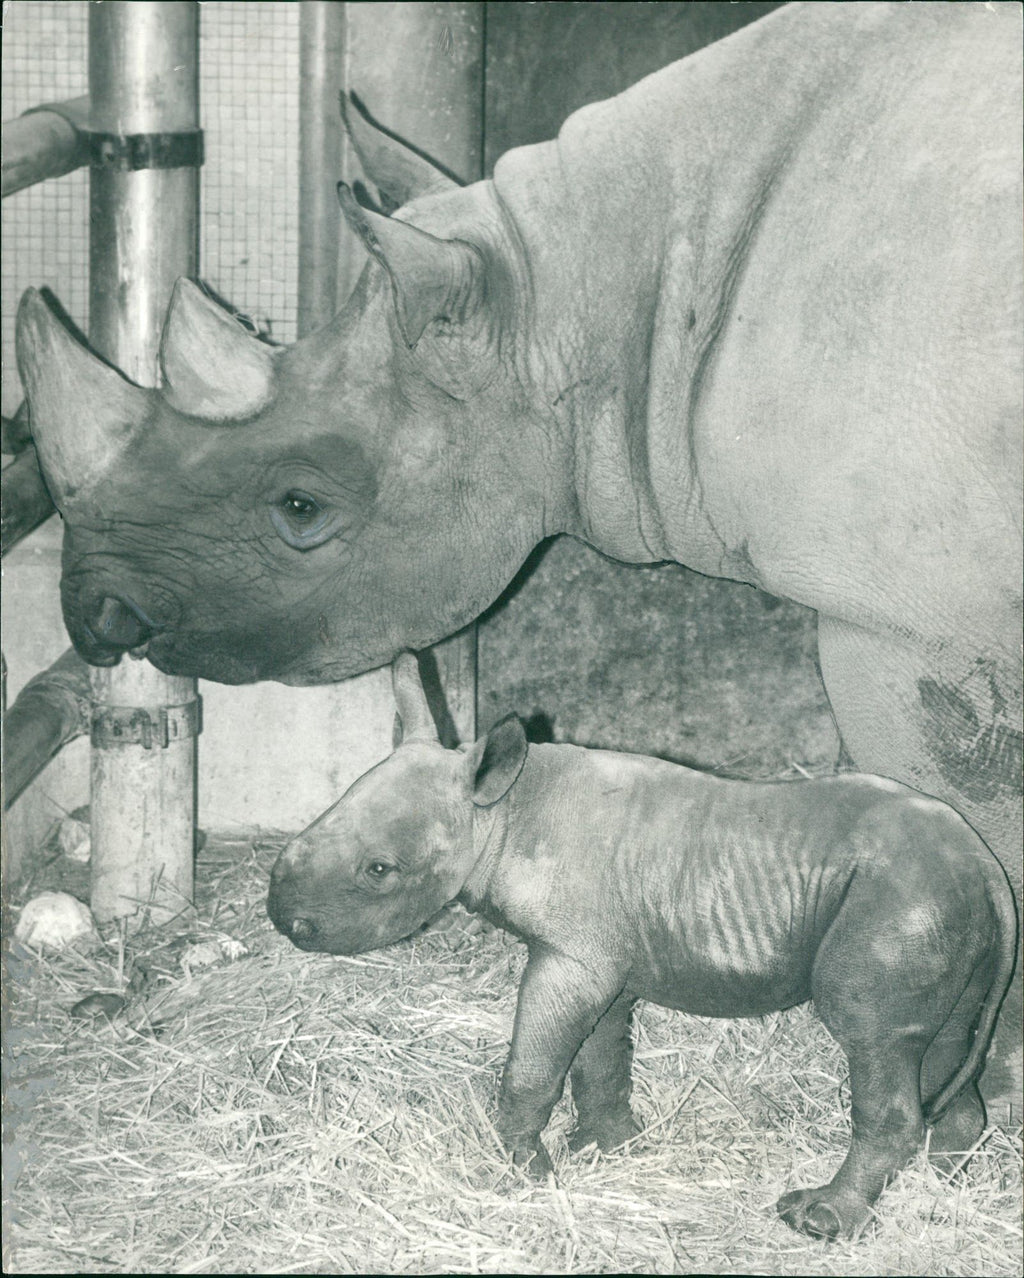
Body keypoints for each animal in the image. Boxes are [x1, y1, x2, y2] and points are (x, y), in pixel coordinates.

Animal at [15, 3, 1023, 1106]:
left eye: (299, 507)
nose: (94, 611)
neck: (580, 296)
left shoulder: (909, 617)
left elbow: (973, 807)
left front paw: (991, 1057)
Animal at [267, 653, 1016, 1240]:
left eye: (379, 871)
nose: (282, 916)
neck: (499, 812)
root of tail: (985, 865)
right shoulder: (600, 958)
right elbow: (600, 1058)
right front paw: (605, 1149)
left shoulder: (572, 954)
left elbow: (536, 1066)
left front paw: (526, 1176)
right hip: (933, 904)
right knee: (937, 1045)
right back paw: (942, 1185)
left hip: (896, 901)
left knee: (873, 1037)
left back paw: (820, 1220)